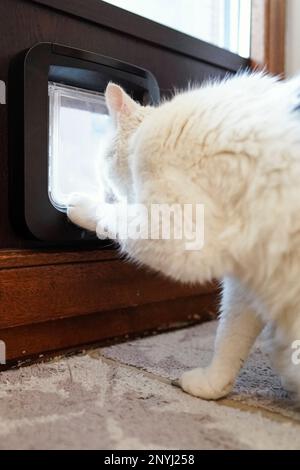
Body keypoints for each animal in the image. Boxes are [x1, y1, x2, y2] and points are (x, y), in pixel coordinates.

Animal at [67, 73, 300, 400]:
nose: (104, 190)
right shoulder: (246, 276)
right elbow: (230, 335)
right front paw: (213, 384)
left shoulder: (171, 230)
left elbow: (114, 217)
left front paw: (82, 204)